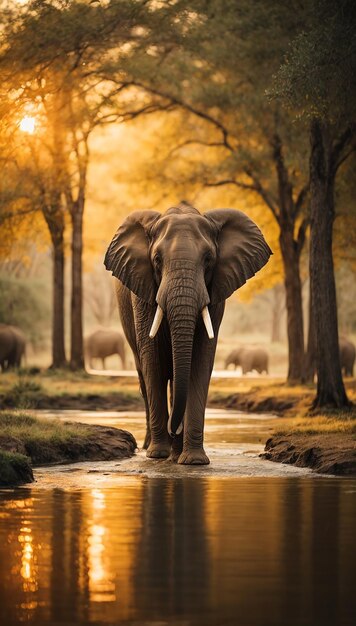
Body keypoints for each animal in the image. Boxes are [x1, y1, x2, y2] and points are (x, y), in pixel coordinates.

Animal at [104, 201, 272, 464]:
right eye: (157, 260)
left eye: (208, 259)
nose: (174, 430)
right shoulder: (142, 293)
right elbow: (153, 361)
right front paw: (157, 455)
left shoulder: (215, 293)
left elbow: (200, 360)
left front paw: (194, 461)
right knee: (145, 374)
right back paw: (153, 448)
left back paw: (175, 453)